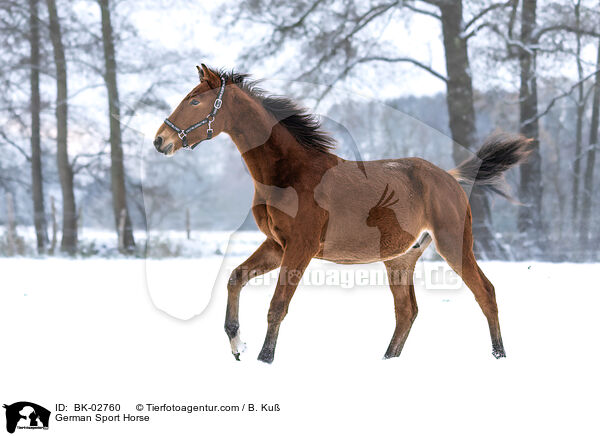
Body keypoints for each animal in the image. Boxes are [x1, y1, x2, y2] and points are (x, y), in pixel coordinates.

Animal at [154, 64, 528, 362]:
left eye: (195, 100)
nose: (160, 140)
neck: (290, 174)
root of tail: (449, 178)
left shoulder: (301, 247)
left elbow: (277, 306)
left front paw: (264, 359)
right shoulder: (277, 245)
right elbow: (235, 278)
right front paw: (236, 343)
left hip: (453, 244)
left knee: (485, 292)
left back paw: (499, 355)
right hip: (400, 258)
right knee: (406, 311)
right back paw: (387, 360)